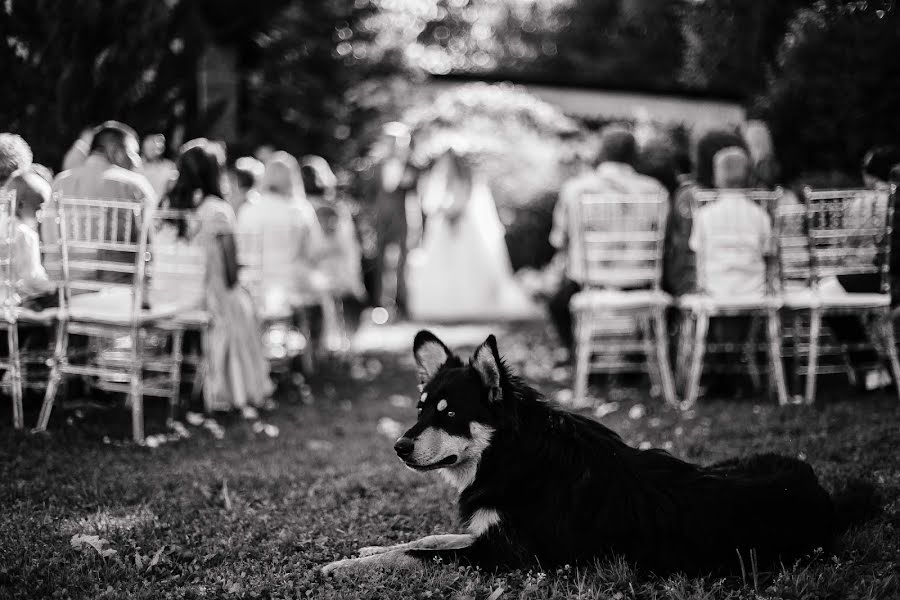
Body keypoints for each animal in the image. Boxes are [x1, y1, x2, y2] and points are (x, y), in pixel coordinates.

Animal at [322, 330, 880, 576]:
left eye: (450, 415)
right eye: (420, 410)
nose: (398, 445)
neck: (515, 455)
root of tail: (820, 490)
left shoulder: (506, 555)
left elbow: (422, 554)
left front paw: (342, 569)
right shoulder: (488, 534)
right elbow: (429, 538)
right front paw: (366, 551)